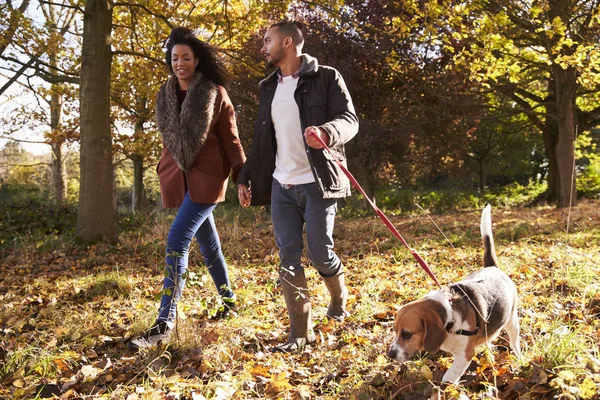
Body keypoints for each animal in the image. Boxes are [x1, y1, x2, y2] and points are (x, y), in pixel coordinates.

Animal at [390, 205, 520, 396]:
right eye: (395, 331)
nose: (390, 354)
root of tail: (492, 267)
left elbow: (447, 378)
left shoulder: (463, 355)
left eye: (407, 334)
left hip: (512, 322)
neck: (450, 319)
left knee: (514, 342)